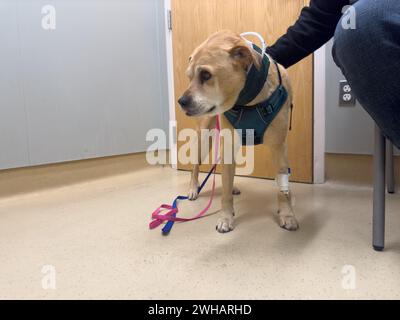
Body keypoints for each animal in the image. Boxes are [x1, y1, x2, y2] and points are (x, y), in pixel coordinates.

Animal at [177, 30, 298, 232]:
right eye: (189, 77)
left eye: (206, 75)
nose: (181, 102)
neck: (248, 101)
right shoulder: (227, 145)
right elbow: (225, 193)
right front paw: (226, 218)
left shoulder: (279, 147)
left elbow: (283, 190)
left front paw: (287, 215)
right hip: (204, 139)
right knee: (195, 167)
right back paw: (193, 189)